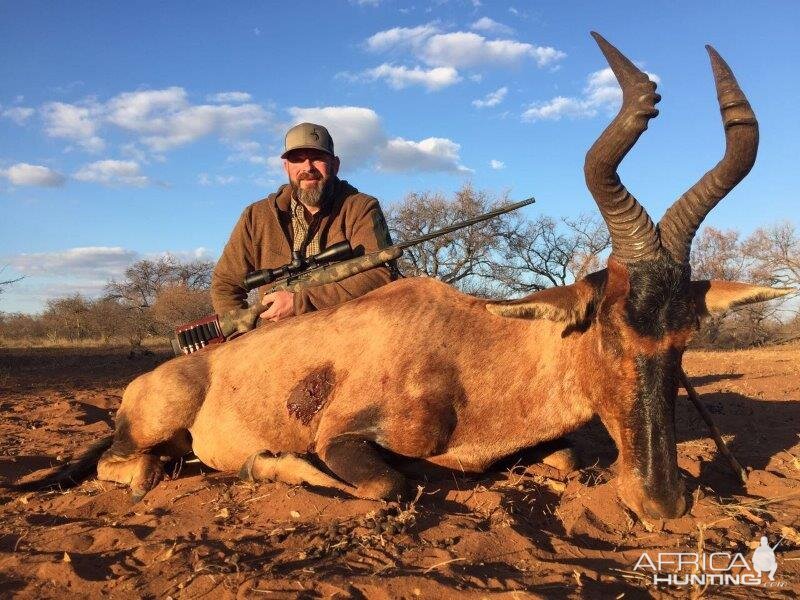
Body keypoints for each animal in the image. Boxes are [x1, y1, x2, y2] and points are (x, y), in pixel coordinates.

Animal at [31, 32, 788, 520]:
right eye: (607, 332)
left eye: (684, 340)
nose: (664, 502)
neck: (468, 343)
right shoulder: (344, 438)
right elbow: (389, 487)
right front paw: (268, 463)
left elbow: (567, 460)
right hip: (152, 425)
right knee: (128, 467)